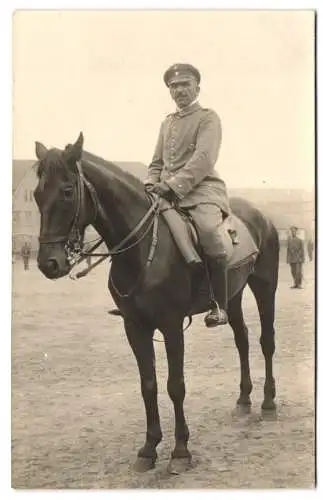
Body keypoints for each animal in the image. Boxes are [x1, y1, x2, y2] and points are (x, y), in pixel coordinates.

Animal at [33, 132, 280, 472]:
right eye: (36, 194)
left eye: (68, 191)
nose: (49, 263)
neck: (142, 251)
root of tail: (262, 216)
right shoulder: (135, 327)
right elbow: (148, 384)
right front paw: (149, 448)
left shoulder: (171, 325)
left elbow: (175, 385)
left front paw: (180, 451)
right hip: (233, 294)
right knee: (242, 340)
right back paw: (244, 400)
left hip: (265, 287)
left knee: (266, 341)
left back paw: (268, 402)